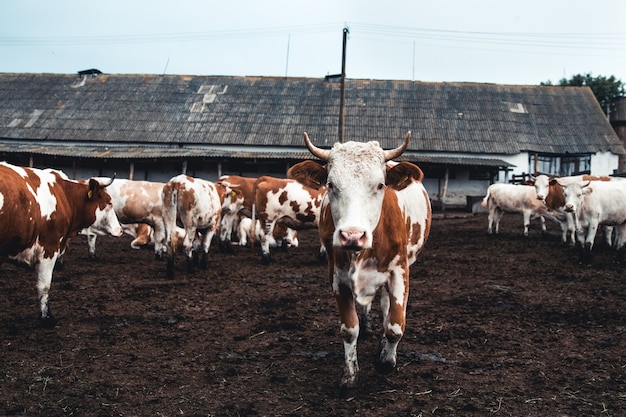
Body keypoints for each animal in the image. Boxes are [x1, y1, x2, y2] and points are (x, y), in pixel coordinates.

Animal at [0, 162, 123, 324]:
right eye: (109, 202)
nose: (120, 230)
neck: (65, 196)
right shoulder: (49, 248)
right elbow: (44, 286)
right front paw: (46, 317)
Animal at [286, 132, 428, 392]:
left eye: (380, 184)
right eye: (331, 184)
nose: (352, 235)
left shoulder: (400, 270)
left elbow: (395, 324)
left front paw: (386, 361)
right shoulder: (337, 276)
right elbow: (349, 329)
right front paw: (350, 375)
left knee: (386, 306)